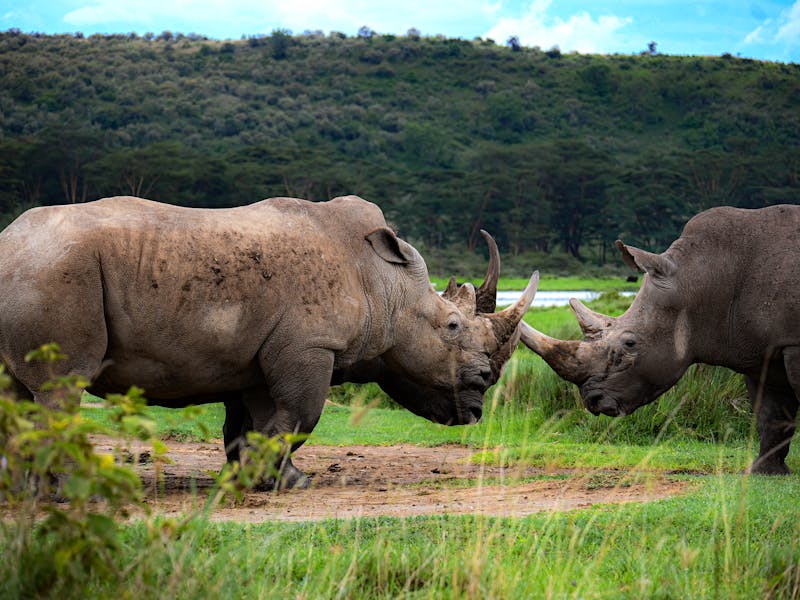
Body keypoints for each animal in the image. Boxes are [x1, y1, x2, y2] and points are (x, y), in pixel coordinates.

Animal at [0, 195, 538, 487]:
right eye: (452, 327)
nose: (481, 393)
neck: (384, 283)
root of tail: (9, 242)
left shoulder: (255, 355)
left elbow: (251, 424)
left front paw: (251, 480)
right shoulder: (310, 345)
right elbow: (301, 416)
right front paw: (289, 482)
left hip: (35, 269)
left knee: (16, 392)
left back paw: (29, 493)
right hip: (56, 270)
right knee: (61, 387)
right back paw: (72, 490)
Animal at [521, 204, 800, 475]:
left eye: (630, 344)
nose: (593, 401)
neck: (704, 278)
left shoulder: (791, 344)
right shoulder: (758, 349)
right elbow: (770, 414)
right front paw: (765, 472)